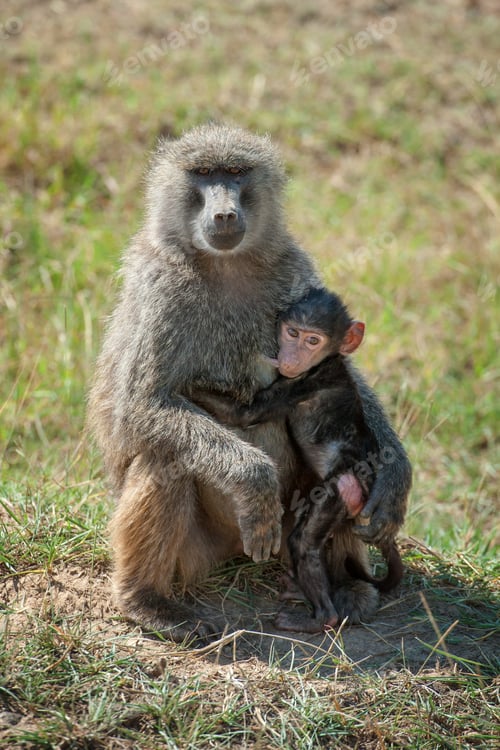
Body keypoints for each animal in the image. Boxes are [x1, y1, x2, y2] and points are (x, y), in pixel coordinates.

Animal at [193, 286, 403, 633]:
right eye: (293, 333)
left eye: (312, 340)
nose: (292, 357)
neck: (327, 360)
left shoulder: (304, 382)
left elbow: (244, 413)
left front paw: (181, 385)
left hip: (342, 490)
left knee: (304, 543)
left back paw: (316, 618)